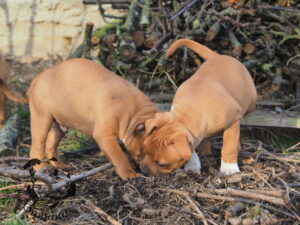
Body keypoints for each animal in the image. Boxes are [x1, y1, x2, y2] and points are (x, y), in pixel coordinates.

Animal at [27, 58, 158, 179]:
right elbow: (119, 157)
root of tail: (37, 78)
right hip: (42, 119)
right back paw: (41, 170)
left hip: (60, 126)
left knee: (50, 145)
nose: (152, 172)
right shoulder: (105, 135)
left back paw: (61, 166)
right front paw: (129, 174)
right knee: (37, 147)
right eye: (145, 152)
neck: (133, 112)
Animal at [140, 39, 255, 176]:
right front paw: (194, 165)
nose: (143, 170)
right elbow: (194, 149)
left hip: (250, 101)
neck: (188, 112)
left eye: (162, 164)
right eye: (145, 151)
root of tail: (217, 56)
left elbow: (229, 145)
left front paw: (229, 167)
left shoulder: (233, 121)